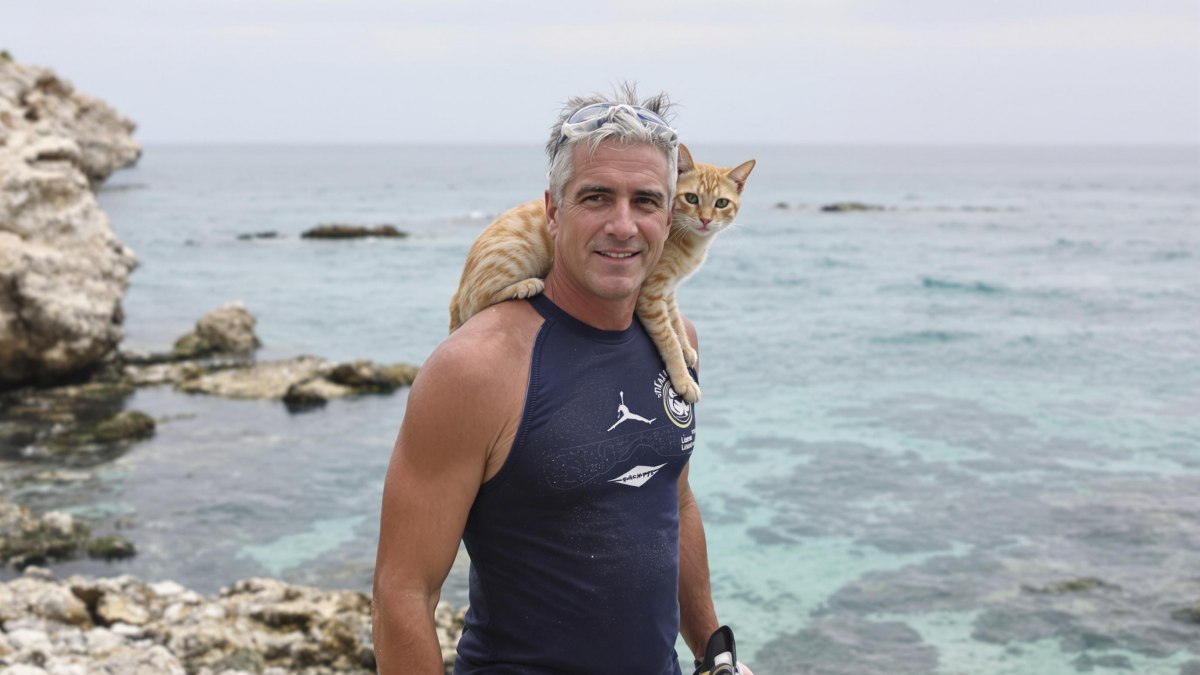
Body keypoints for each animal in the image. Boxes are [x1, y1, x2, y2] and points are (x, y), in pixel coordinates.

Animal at [449, 144, 755, 403]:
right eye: (692, 198)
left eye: (721, 203)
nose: (705, 220)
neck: (689, 240)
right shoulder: (650, 293)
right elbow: (667, 335)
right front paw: (682, 377)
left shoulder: (667, 290)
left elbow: (675, 319)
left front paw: (686, 346)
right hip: (515, 256)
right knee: (476, 300)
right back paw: (524, 286)